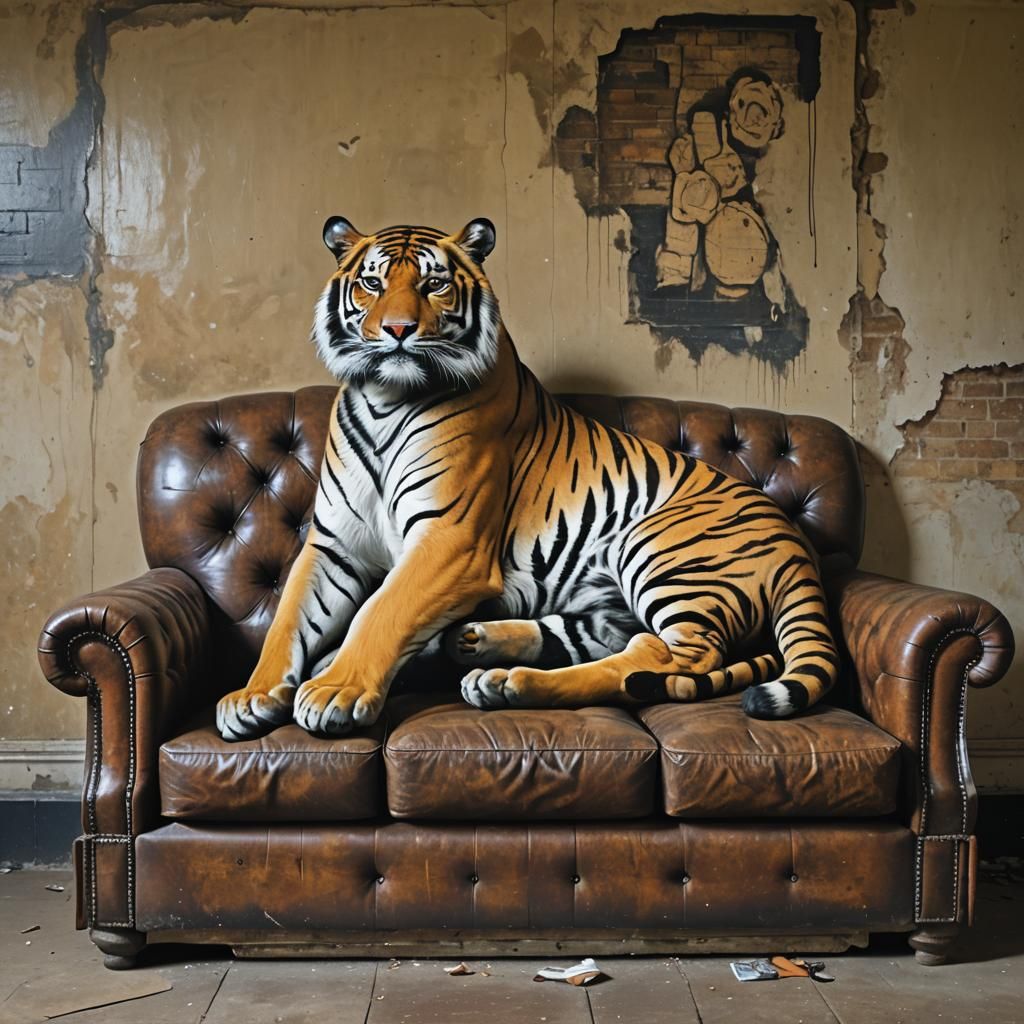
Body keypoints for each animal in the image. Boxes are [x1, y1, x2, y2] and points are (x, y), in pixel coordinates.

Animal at [215, 216, 840, 741]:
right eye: (371, 284)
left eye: (434, 285)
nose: (397, 329)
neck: (384, 398)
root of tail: (799, 546)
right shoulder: (333, 544)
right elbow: (288, 619)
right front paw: (252, 695)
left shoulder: (450, 540)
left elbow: (381, 611)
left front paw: (334, 691)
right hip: (611, 595)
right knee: (604, 640)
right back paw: (478, 646)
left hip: (662, 548)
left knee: (669, 656)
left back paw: (507, 682)